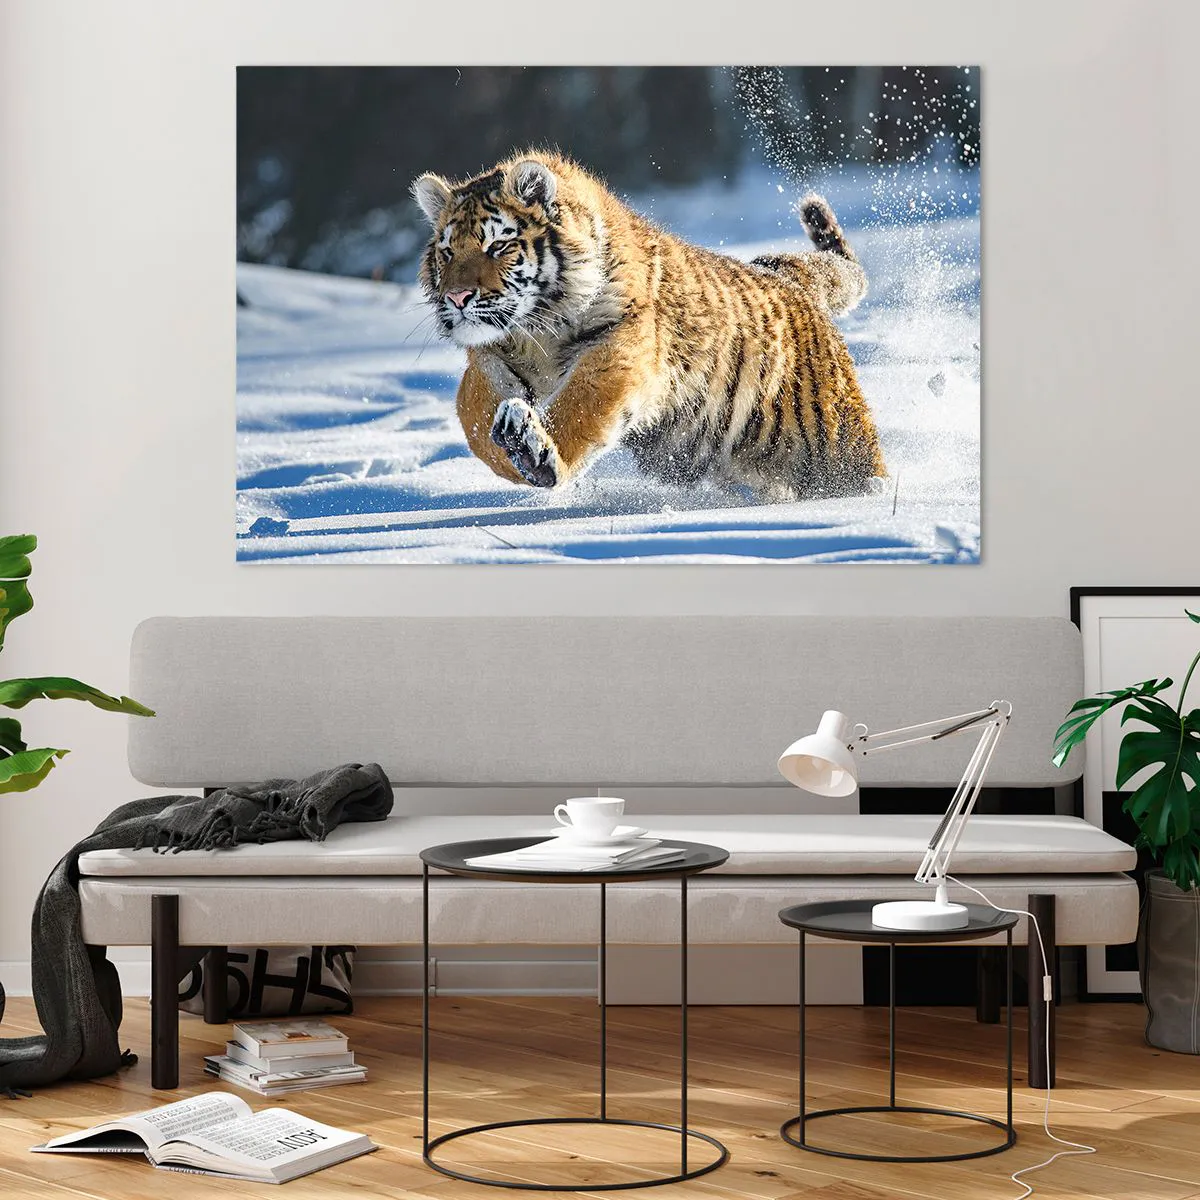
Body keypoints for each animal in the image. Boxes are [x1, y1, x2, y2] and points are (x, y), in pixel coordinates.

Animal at [412, 150, 886, 501]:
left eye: (498, 245)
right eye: (447, 251)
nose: (457, 298)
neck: (536, 330)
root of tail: (788, 277)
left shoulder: (620, 348)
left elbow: (580, 406)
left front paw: (536, 454)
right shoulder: (490, 357)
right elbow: (474, 417)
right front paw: (509, 446)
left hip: (836, 442)